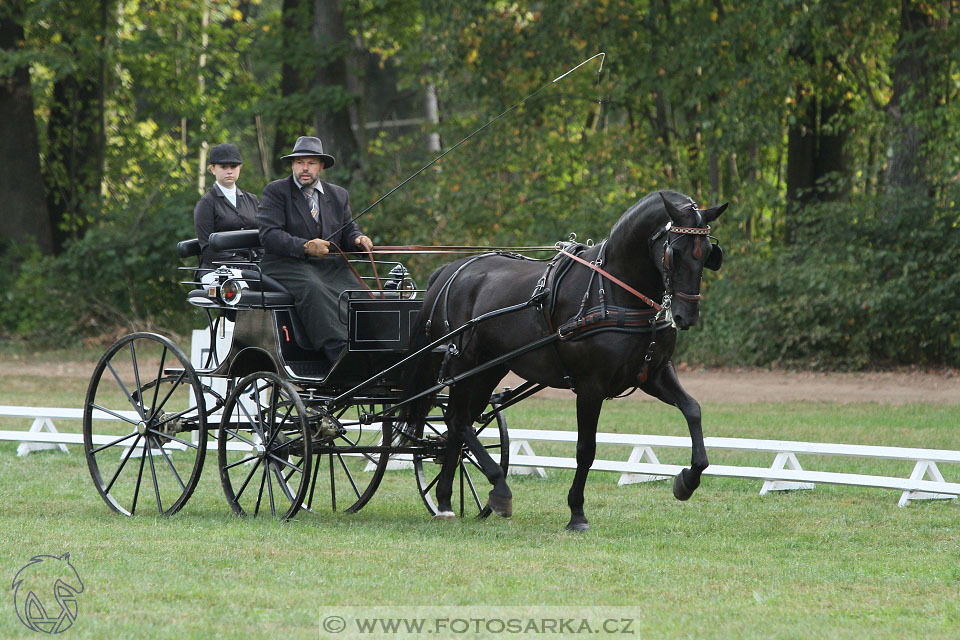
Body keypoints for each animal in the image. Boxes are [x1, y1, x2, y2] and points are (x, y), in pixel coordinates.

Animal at [402, 190, 724, 528]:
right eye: (675, 252)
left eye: (708, 253)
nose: (686, 316)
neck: (613, 291)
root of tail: (450, 270)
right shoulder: (590, 387)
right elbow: (586, 449)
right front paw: (577, 512)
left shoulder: (654, 373)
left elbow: (693, 410)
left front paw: (687, 480)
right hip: (462, 365)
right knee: (458, 420)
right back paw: (497, 487)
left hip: (487, 370)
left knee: (458, 424)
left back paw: (445, 501)